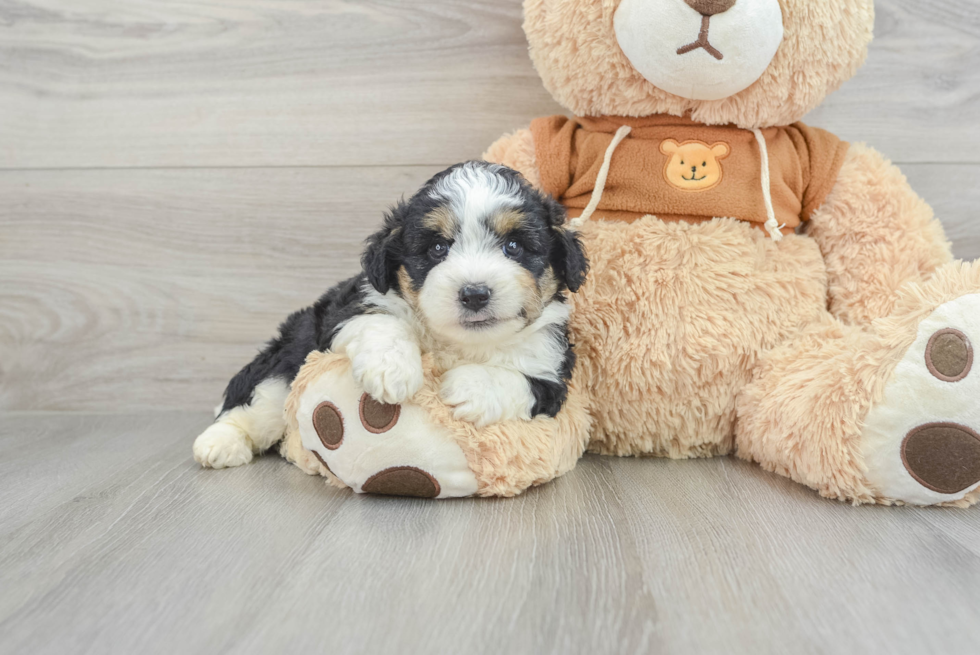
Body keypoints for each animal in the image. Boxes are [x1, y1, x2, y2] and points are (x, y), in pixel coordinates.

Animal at [194, 164, 584, 472]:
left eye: (514, 247)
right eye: (437, 249)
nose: (474, 293)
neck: (459, 344)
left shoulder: (551, 370)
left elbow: (522, 381)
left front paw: (470, 387)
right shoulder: (346, 312)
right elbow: (382, 322)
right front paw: (391, 370)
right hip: (286, 360)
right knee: (255, 404)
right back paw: (219, 444)